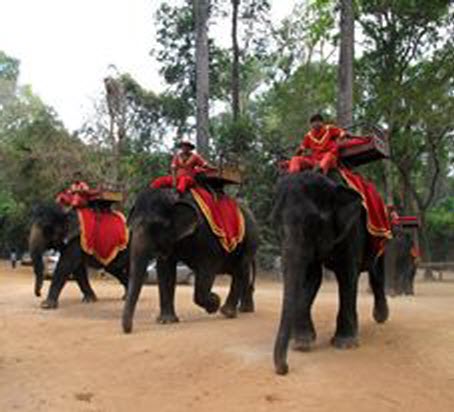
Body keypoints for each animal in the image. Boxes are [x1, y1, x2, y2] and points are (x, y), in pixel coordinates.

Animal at [121, 188, 258, 334]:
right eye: (131, 227)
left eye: (157, 226)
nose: (129, 330)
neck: (173, 197)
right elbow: (165, 270)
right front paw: (166, 321)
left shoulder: (207, 239)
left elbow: (206, 270)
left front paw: (215, 302)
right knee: (243, 273)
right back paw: (244, 310)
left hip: (250, 239)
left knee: (241, 268)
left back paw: (227, 312)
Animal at [272, 171, 388, 374]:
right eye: (275, 223)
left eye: (312, 223)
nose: (284, 369)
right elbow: (311, 277)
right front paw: (302, 343)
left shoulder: (353, 228)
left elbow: (347, 274)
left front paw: (345, 344)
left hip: (380, 236)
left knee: (376, 272)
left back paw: (380, 317)